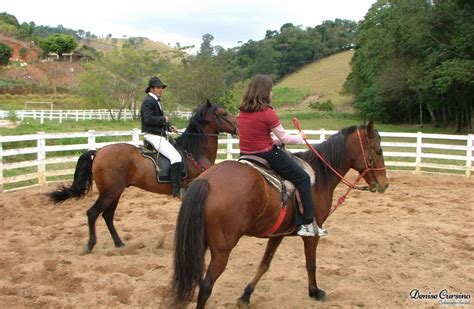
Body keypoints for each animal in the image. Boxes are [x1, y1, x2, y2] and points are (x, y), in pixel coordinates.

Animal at [48, 101, 237, 253]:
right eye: (223, 113)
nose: (237, 126)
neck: (195, 152)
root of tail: (99, 151)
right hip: (109, 193)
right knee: (93, 213)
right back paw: (90, 245)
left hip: (115, 192)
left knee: (107, 215)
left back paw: (119, 243)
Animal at [170, 121, 388, 308]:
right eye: (378, 150)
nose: (385, 184)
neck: (319, 176)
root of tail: (206, 181)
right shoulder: (312, 234)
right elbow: (311, 264)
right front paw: (315, 291)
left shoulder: (278, 233)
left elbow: (265, 264)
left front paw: (246, 295)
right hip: (222, 251)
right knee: (206, 288)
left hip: (199, 244)